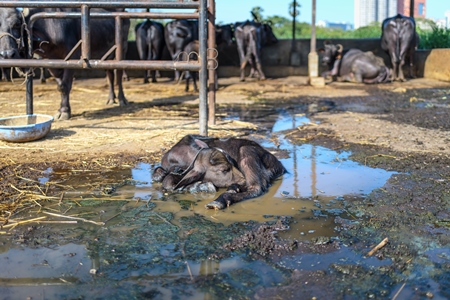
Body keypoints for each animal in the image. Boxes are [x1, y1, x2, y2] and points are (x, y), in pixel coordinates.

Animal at [0, 7, 130, 119]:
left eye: (17, 24)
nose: (7, 54)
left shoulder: (72, 57)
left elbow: (65, 85)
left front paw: (64, 111)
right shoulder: (51, 61)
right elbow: (60, 85)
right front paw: (62, 109)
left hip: (121, 51)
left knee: (118, 75)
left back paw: (122, 99)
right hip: (107, 55)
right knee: (110, 75)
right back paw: (111, 99)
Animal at [151, 135, 284, 210]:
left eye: (233, 161)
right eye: (224, 169)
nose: (242, 179)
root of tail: (279, 165)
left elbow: (168, 181)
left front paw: (201, 186)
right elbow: (162, 176)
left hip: (246, 150)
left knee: (256, 188)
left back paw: (219, 201)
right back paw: (233, 189)